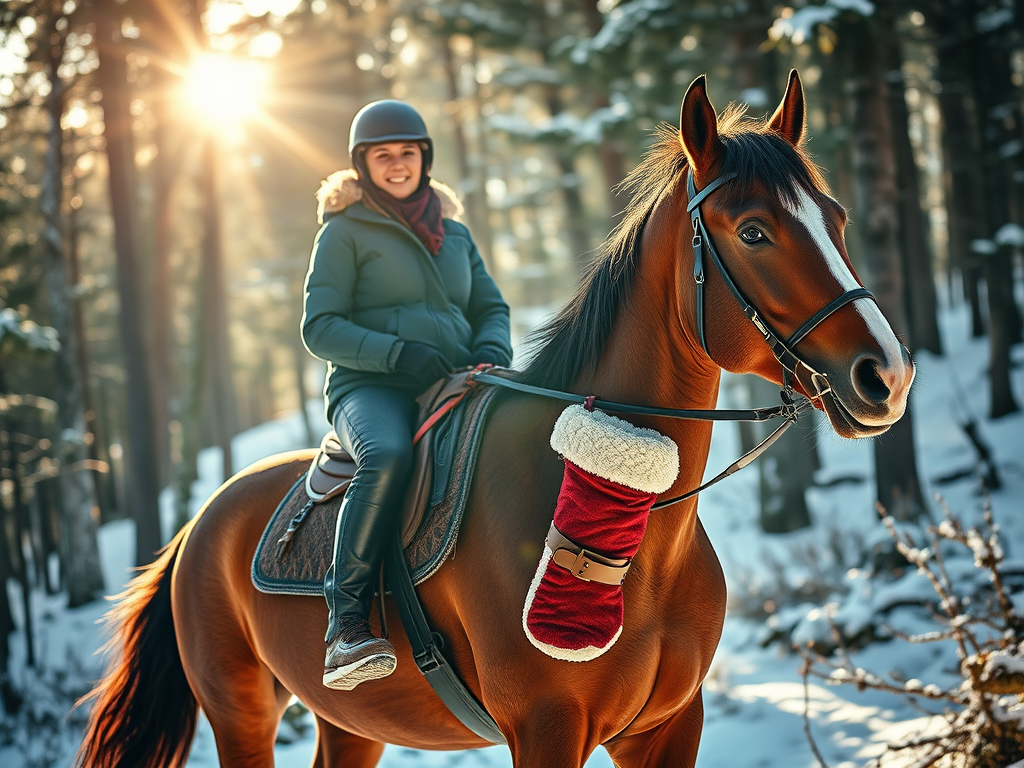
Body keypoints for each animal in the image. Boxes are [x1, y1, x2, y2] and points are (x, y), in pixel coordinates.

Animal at [75, 71, 914, 768]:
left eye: (836, 218)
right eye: (753, 231)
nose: (887, 375)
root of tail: (198, 524)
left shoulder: (669, 727)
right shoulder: (546, 728)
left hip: (350, 725)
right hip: (241, 713)